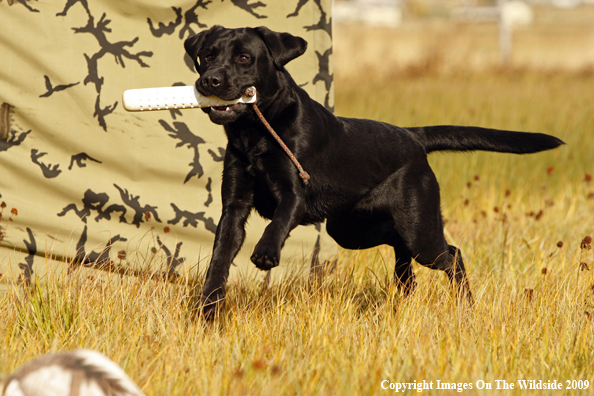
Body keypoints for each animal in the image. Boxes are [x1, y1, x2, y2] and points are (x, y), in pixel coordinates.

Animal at [183, 24, 560, 318]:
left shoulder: (294, 192)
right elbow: (219, 258)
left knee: (451, 254)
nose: (209, 81)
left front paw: (265, 253)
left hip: (418, 229)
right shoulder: (234, 207)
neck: (255, 134)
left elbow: (277, 222)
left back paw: (465, 306)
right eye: (208, 55)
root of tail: (413, 136)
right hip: (348, 228)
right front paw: (208, 309)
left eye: (245, 58)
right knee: (397, 240)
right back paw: (405, 283)